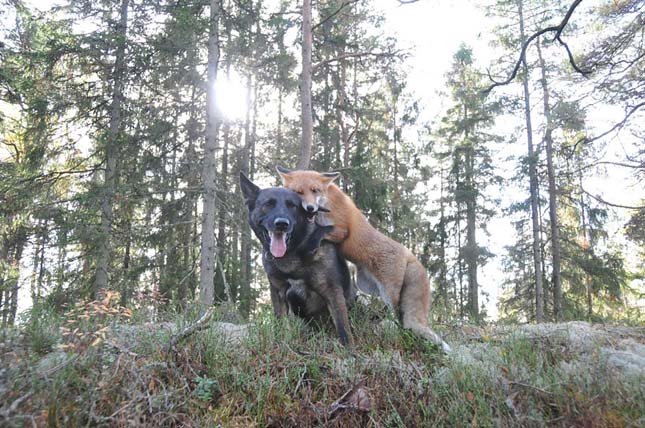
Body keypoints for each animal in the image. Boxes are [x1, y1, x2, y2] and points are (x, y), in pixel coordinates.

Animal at [239, 172, 354, 346]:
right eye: (268, 204)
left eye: (292, 205)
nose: (282, 224)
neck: (292, 252)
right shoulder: (278, 292)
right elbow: (281, 323)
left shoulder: (332, 291)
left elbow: (343, 328)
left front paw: (349, 350)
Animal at [278, 166, 452, 352]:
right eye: (298, 192)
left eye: (315, 190)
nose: (310, 208)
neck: (326, 203)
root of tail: (411, 255)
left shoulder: (342, 230)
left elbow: (322, 231)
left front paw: (311, 242)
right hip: (365, 285)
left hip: (390, 293)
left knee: (398, 316)